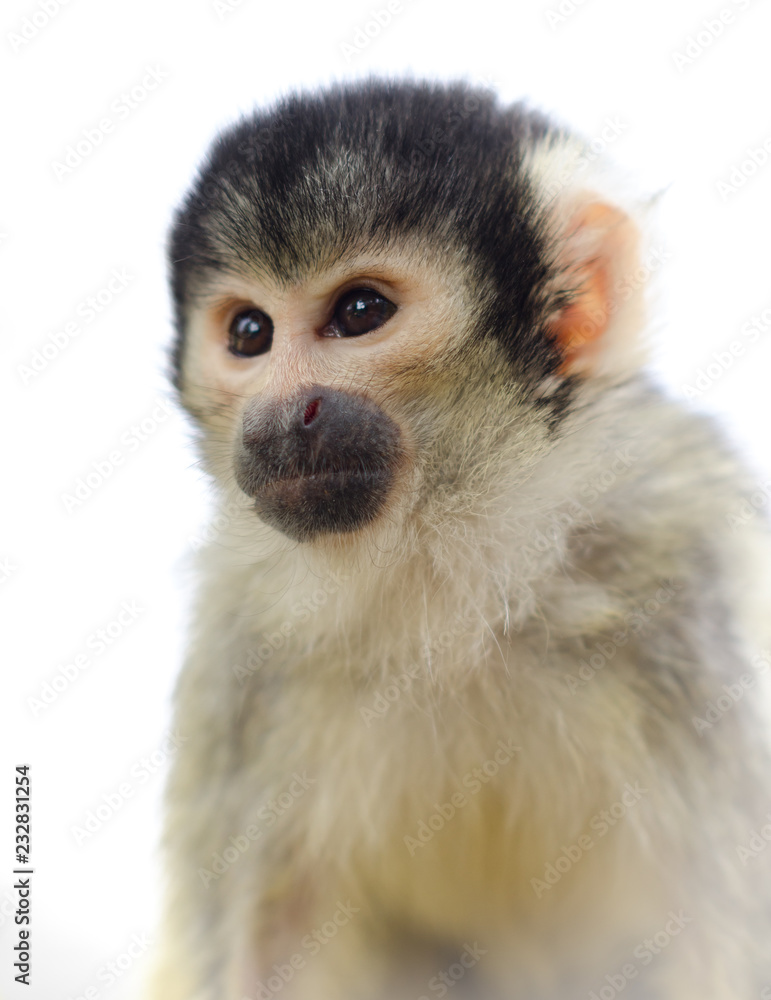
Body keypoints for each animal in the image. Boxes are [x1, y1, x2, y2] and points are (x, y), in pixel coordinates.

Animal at [151, 79, 771, 1000]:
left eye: (360, 312)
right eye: (249, 334)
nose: (282, 417)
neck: (453, 572)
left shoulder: (681, 575)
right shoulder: (243, 650)